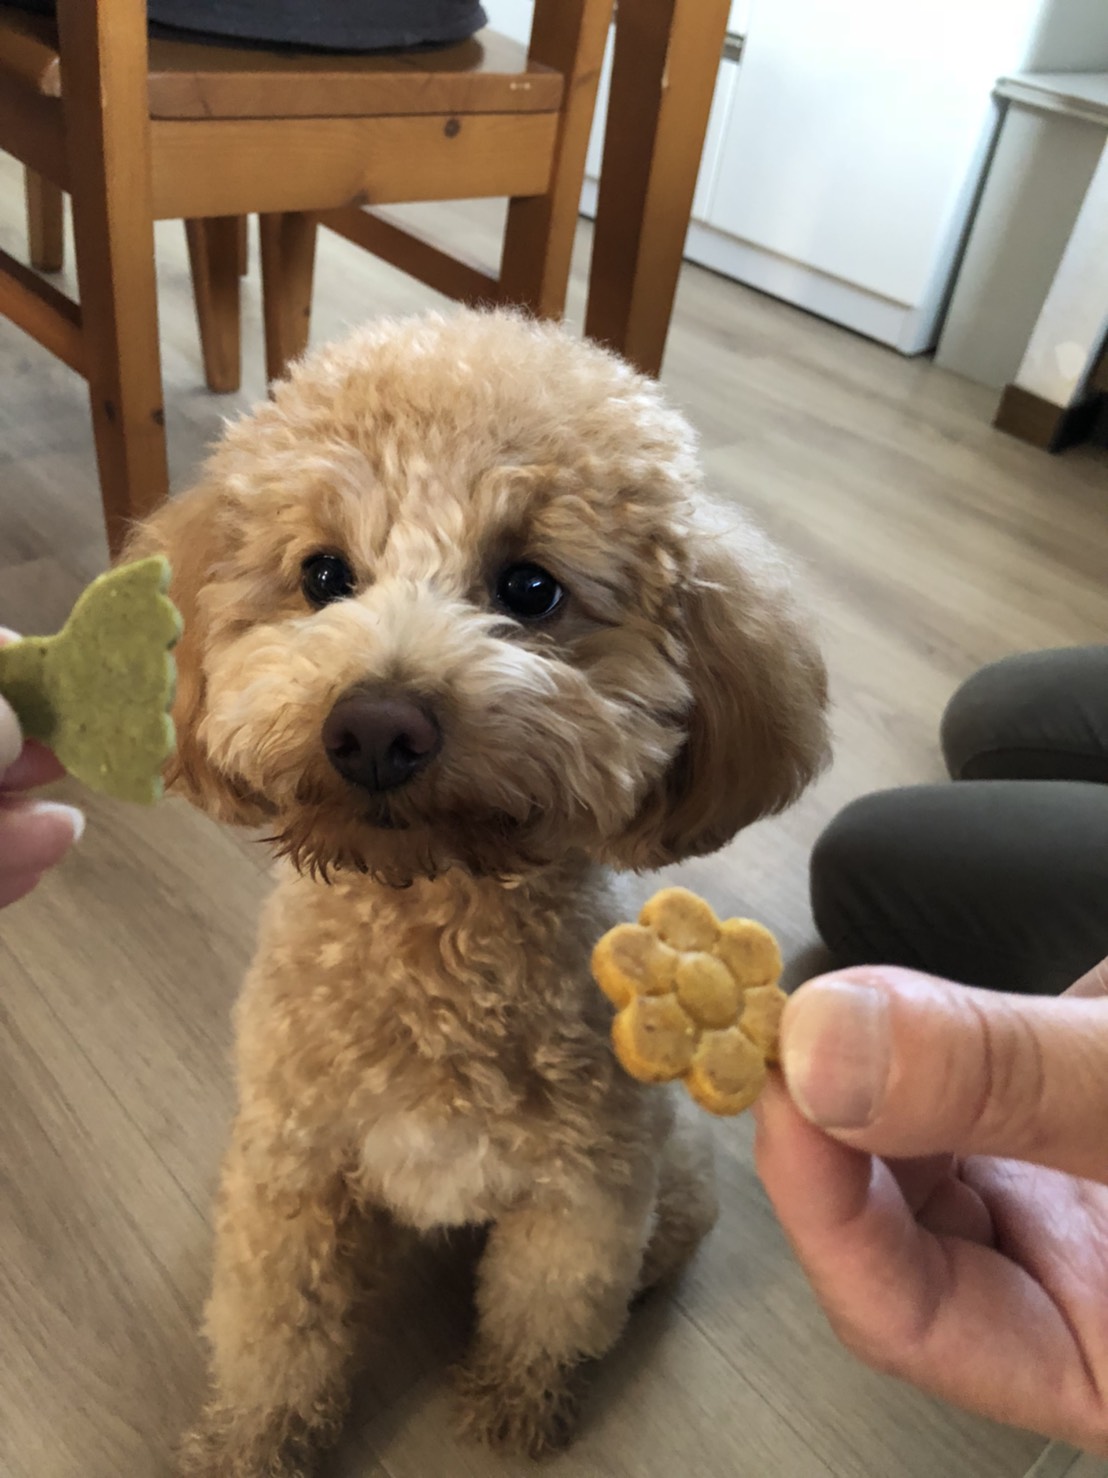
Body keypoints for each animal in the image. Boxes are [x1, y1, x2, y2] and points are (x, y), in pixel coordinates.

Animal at [130, 305, 827, 1472]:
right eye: (324, 575)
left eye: (530, 589)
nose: (376, 727)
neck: (436, 935)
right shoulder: (293, 1172)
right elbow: (277, 1334)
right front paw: (252, 1444)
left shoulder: (586, 1193)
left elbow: (545, 1309)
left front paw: (517, 1407)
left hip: (671, 1169)